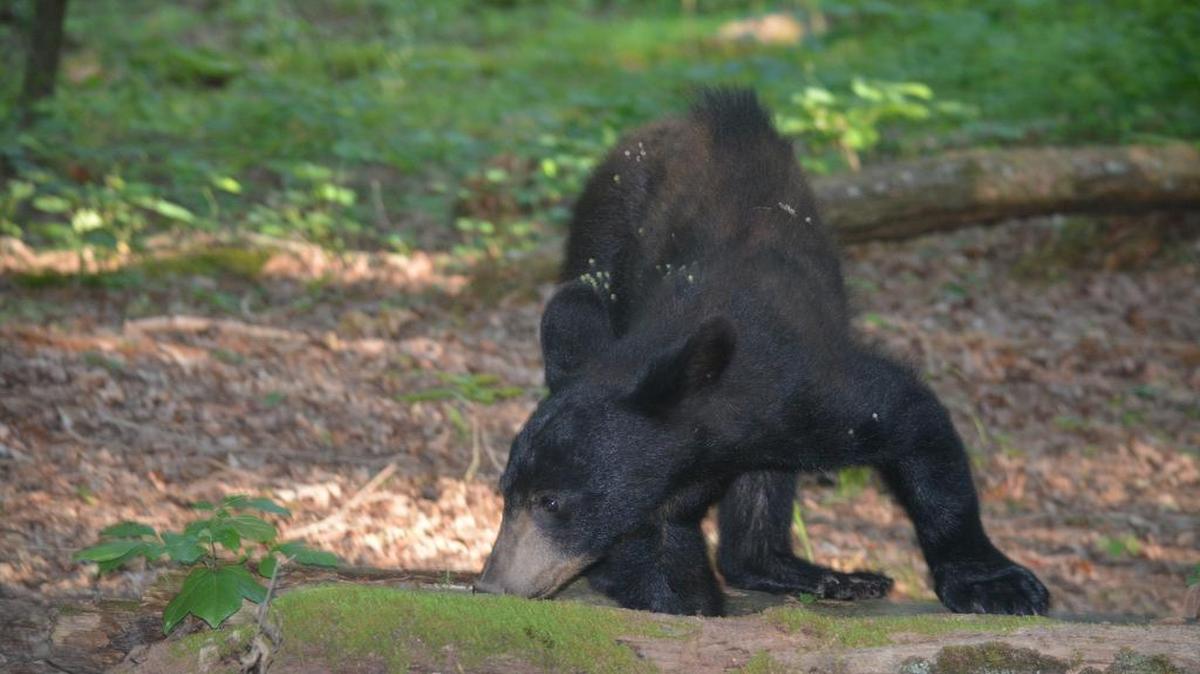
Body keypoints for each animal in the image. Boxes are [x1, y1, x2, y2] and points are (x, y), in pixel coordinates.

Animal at [474, 89, 1050, 617]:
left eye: (552, 501)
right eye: (505, 493)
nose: (491, 585)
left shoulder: (809, 390)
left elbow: (915, 423)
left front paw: (998, 584)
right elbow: (650, 547)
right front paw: (681, 595)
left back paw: (828, 575)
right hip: (600, 238)